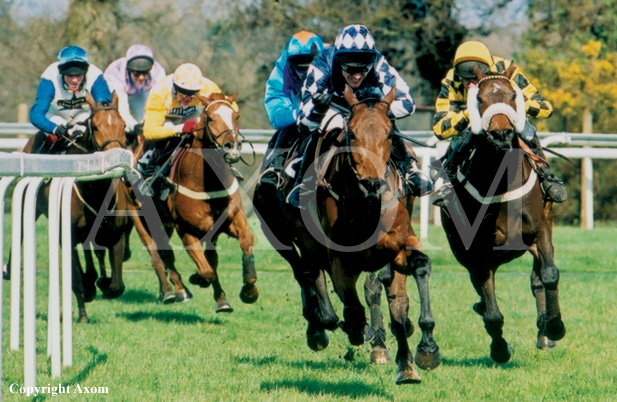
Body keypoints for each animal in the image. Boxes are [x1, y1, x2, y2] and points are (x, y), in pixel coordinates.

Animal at [22, 92, 130, 324]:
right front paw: (84, 311)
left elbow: (117, 286)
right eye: (96, 127)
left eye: (123, 125)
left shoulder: (115, 233)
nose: (115, 160)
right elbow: (77, 279)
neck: (94, 190)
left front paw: (103, 284)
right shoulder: (67, 237)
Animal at [129, 92, 256, 310]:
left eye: (236, 116)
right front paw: (197, 278)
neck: (207, 183)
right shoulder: (187, 230)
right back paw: (173, 291)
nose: (231, 148)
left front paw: (249, 291)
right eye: (210, 118)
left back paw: (218, 298)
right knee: (159, 254)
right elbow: (206, 269)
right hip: (141, 219)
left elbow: (244, 241)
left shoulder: (230, 221)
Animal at [254, 86, 438, 384]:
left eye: (390, 133)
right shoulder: (339, 257)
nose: (372, 184)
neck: (366, 206)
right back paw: (320, 328)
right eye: (351, 134)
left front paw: (420, 352)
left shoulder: (397, 248)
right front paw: (358, 331)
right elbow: (352, 307)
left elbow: (408, 283)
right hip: (280, 235)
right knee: (305, 272)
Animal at [438, 67, 568, 362]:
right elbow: (493, 313)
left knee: (537, 279)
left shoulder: (540, 230)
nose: (501, 134)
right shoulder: (477, 253)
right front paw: (499, 349)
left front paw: (555, 326)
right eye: (479, 99)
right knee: (483, 295)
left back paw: (544, 331)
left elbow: (550, 274)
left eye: (512, 95)